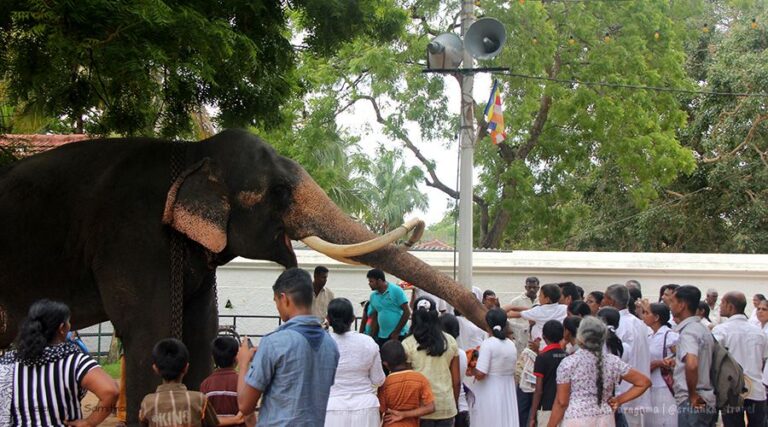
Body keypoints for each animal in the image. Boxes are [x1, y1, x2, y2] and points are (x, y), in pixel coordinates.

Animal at [0, 128, 486, 424]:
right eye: (280, 192)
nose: (487, 316)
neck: (192, 153)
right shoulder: (132, 237)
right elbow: (151, 335)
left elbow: (198, 334)